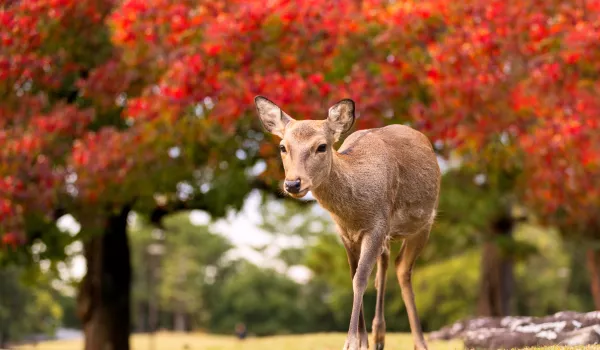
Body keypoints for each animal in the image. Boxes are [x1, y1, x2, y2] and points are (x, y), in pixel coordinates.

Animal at [253, 95, 440, 350]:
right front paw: (362, 341)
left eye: (322, 146)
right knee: (386, 261)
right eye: (283, 146)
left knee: (403, 269)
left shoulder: (376, 225)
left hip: (424, 223)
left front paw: (351, 342)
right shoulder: (346, 233)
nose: (292, 184)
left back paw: (420, 342)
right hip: (389, 234)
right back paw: (379, 336)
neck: (354, 213)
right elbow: (353, 277)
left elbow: (359, 279)